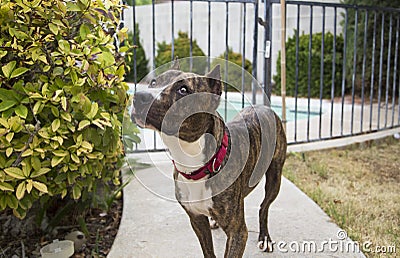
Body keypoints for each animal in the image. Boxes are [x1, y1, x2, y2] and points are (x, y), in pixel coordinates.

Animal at [131, 63, 288, 258]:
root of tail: (265, 107)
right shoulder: (197, 220)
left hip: (275, 178)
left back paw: (264, 237)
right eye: (153, 82)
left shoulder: (238, 233)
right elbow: (208, 250)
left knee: (264, 206)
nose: (138, 96)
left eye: (183, 90)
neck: (195, 165)